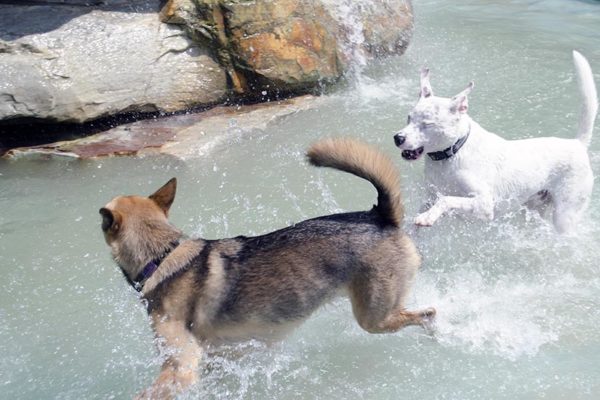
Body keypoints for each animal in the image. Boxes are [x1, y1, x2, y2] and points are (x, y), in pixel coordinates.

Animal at [99, 137, 436, 396]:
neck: (161, 256)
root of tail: (380, 216)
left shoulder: (180, 365)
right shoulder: (216, 356)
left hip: (374, 318)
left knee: (427, 314)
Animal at [394, 51, 596, 233]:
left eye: (427, 124)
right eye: (409, 118)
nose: (398, 138)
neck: (453, 153)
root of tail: (577, 143)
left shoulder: (484, 205)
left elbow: (446, 199)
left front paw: (428, 217)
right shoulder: (430, 196)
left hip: (565, 214)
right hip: (535, 206)